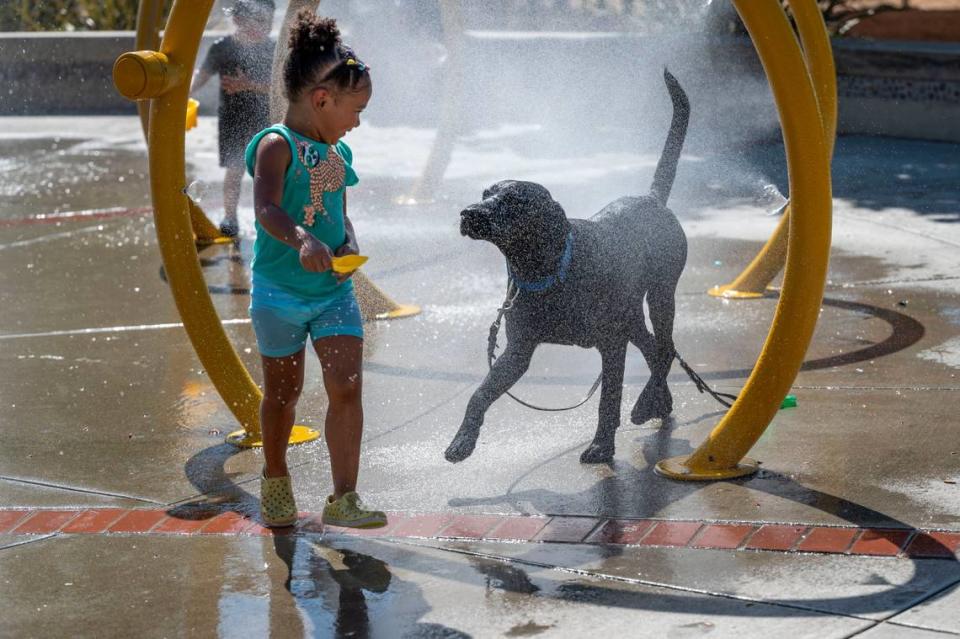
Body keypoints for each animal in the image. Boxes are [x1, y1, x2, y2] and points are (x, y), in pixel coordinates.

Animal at [446, 71, 688, 464]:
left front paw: (602, 446)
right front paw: (463, 440)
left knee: (665, 349)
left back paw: (644, 404)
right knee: (655, 351)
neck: (545, 271)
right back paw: (657, 401)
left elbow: (608, 399)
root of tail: (652, 199)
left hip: (661, 295)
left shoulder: (611, 344)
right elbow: (479, 394)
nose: (468, 213)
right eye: (485, 194)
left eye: (513, 201)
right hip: (632, 317)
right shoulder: (518, 350)